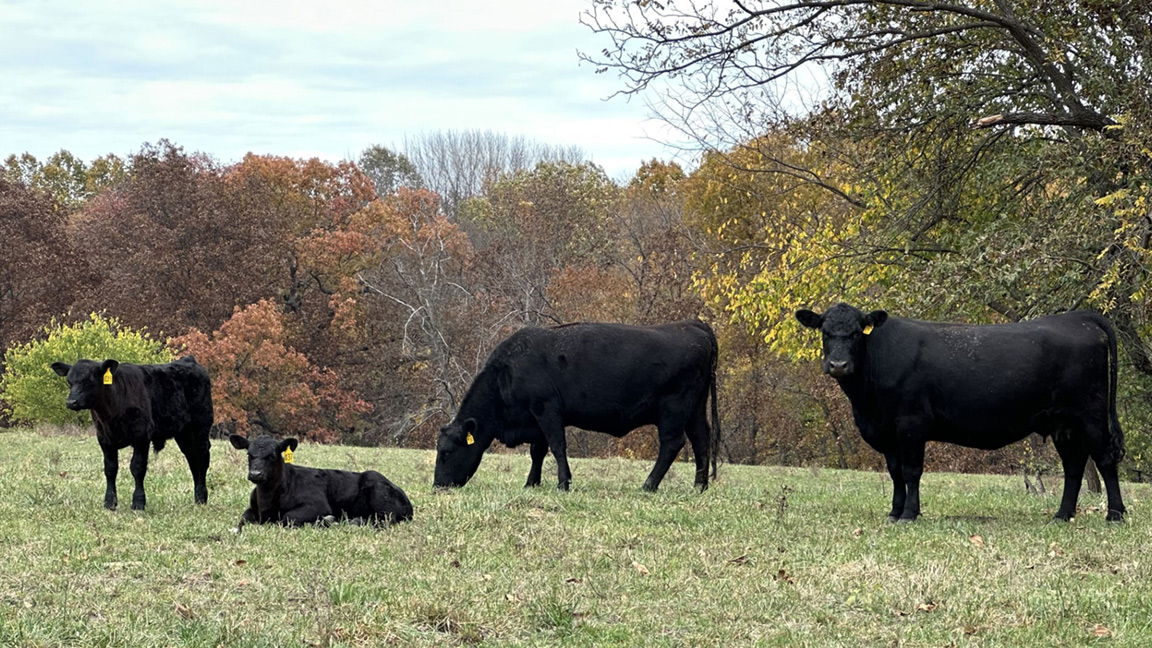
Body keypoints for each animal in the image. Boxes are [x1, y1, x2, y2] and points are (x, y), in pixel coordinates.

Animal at [50, 352, 214, 509]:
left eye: (89, 381)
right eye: (69, 382)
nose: (71, 402)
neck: (111, 414)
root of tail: (189, 360)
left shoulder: (141, 435)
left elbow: (137, 467)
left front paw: (138, 502)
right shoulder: (103, 438)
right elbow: (110, 469)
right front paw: (109, 502)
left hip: (201, 426)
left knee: (202, 457)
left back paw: (202, 496)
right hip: (183, 433)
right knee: (192, 459)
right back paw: (197, 498)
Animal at [229, 433, 414, 530]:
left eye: (273, 455)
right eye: (249, 454)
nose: (256, 474)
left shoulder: (317, 505)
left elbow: (288, 517)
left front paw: (325, 520)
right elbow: (244, 517)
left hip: (375, 484)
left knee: (384, 519)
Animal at [433, 318, 718, 488]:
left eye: (446, 453)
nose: (438, 486)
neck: (508, 372)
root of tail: (691, 325)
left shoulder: (546, 409)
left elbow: (558, 446)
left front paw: (563, 483)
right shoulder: (536, 418)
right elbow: (537, 451)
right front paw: (532, 483)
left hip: (673, 409)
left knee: (672, 443)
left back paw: (649, 484)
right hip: (694, 409)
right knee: (702, 440)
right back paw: (699, 486)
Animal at [792, 304, 1124, 521]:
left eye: (857, 333)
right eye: (825, 332)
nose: (838, 365)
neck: (866, 405)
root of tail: (1077, 317)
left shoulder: (911, 424)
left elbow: (911, 471)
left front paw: (909, 514)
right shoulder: (886, 431)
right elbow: (895, 472)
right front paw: (894, 511)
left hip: (1091, 416)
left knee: (1104, 460)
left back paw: (1115, 514)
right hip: (1062, 424)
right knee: (1074, 465)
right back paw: (1062, 514)